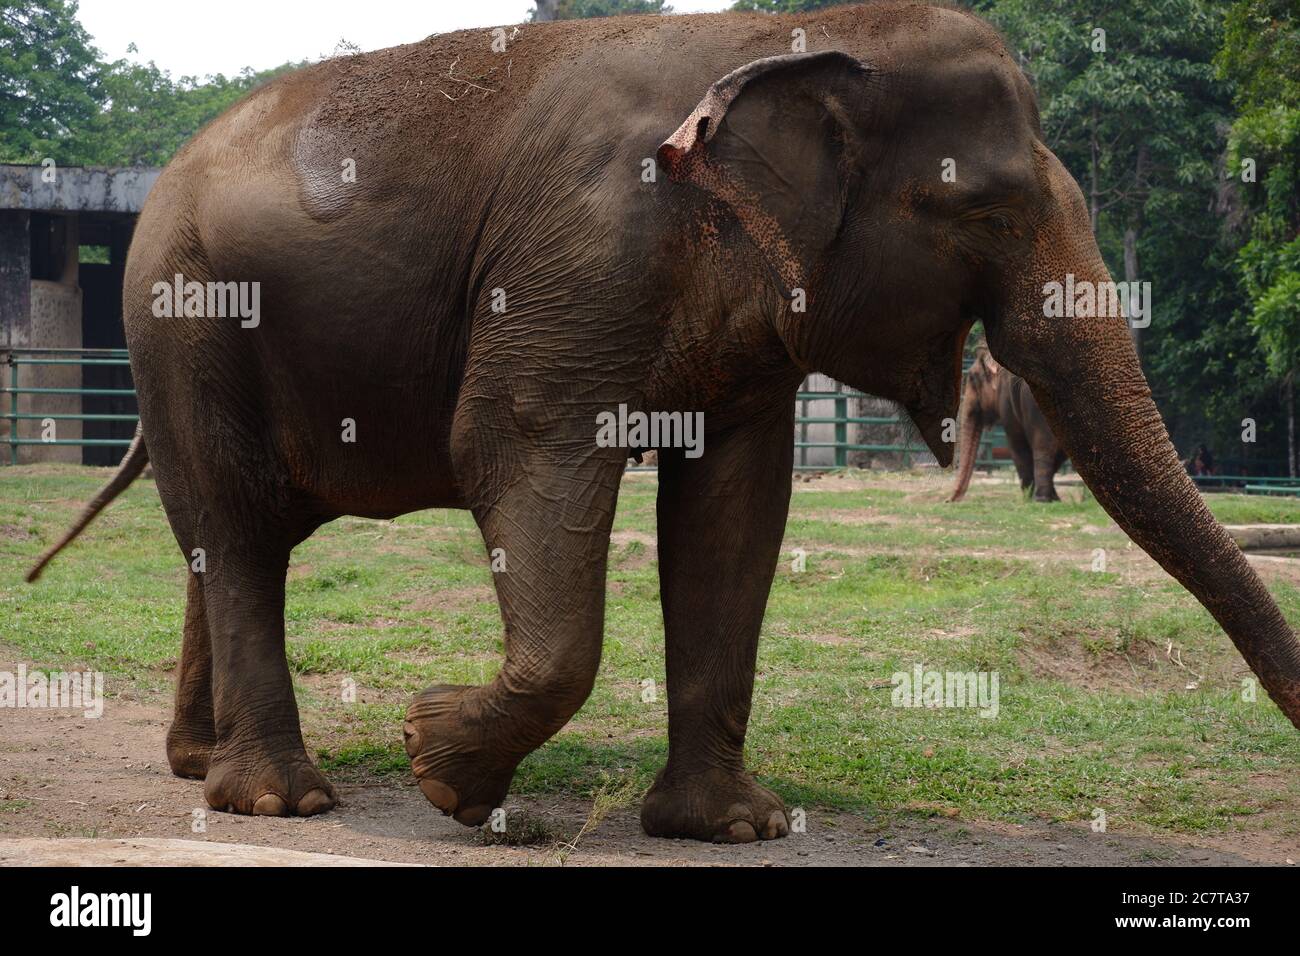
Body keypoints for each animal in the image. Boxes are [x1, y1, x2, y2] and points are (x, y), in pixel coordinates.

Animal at [946, 348, 1066, 504]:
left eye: (973, 379)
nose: (947, 501)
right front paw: (1055, 498)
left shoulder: (1007, 402)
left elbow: (1017, 445)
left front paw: (1029, 497)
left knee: (1042, 447)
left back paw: (1041, 499)